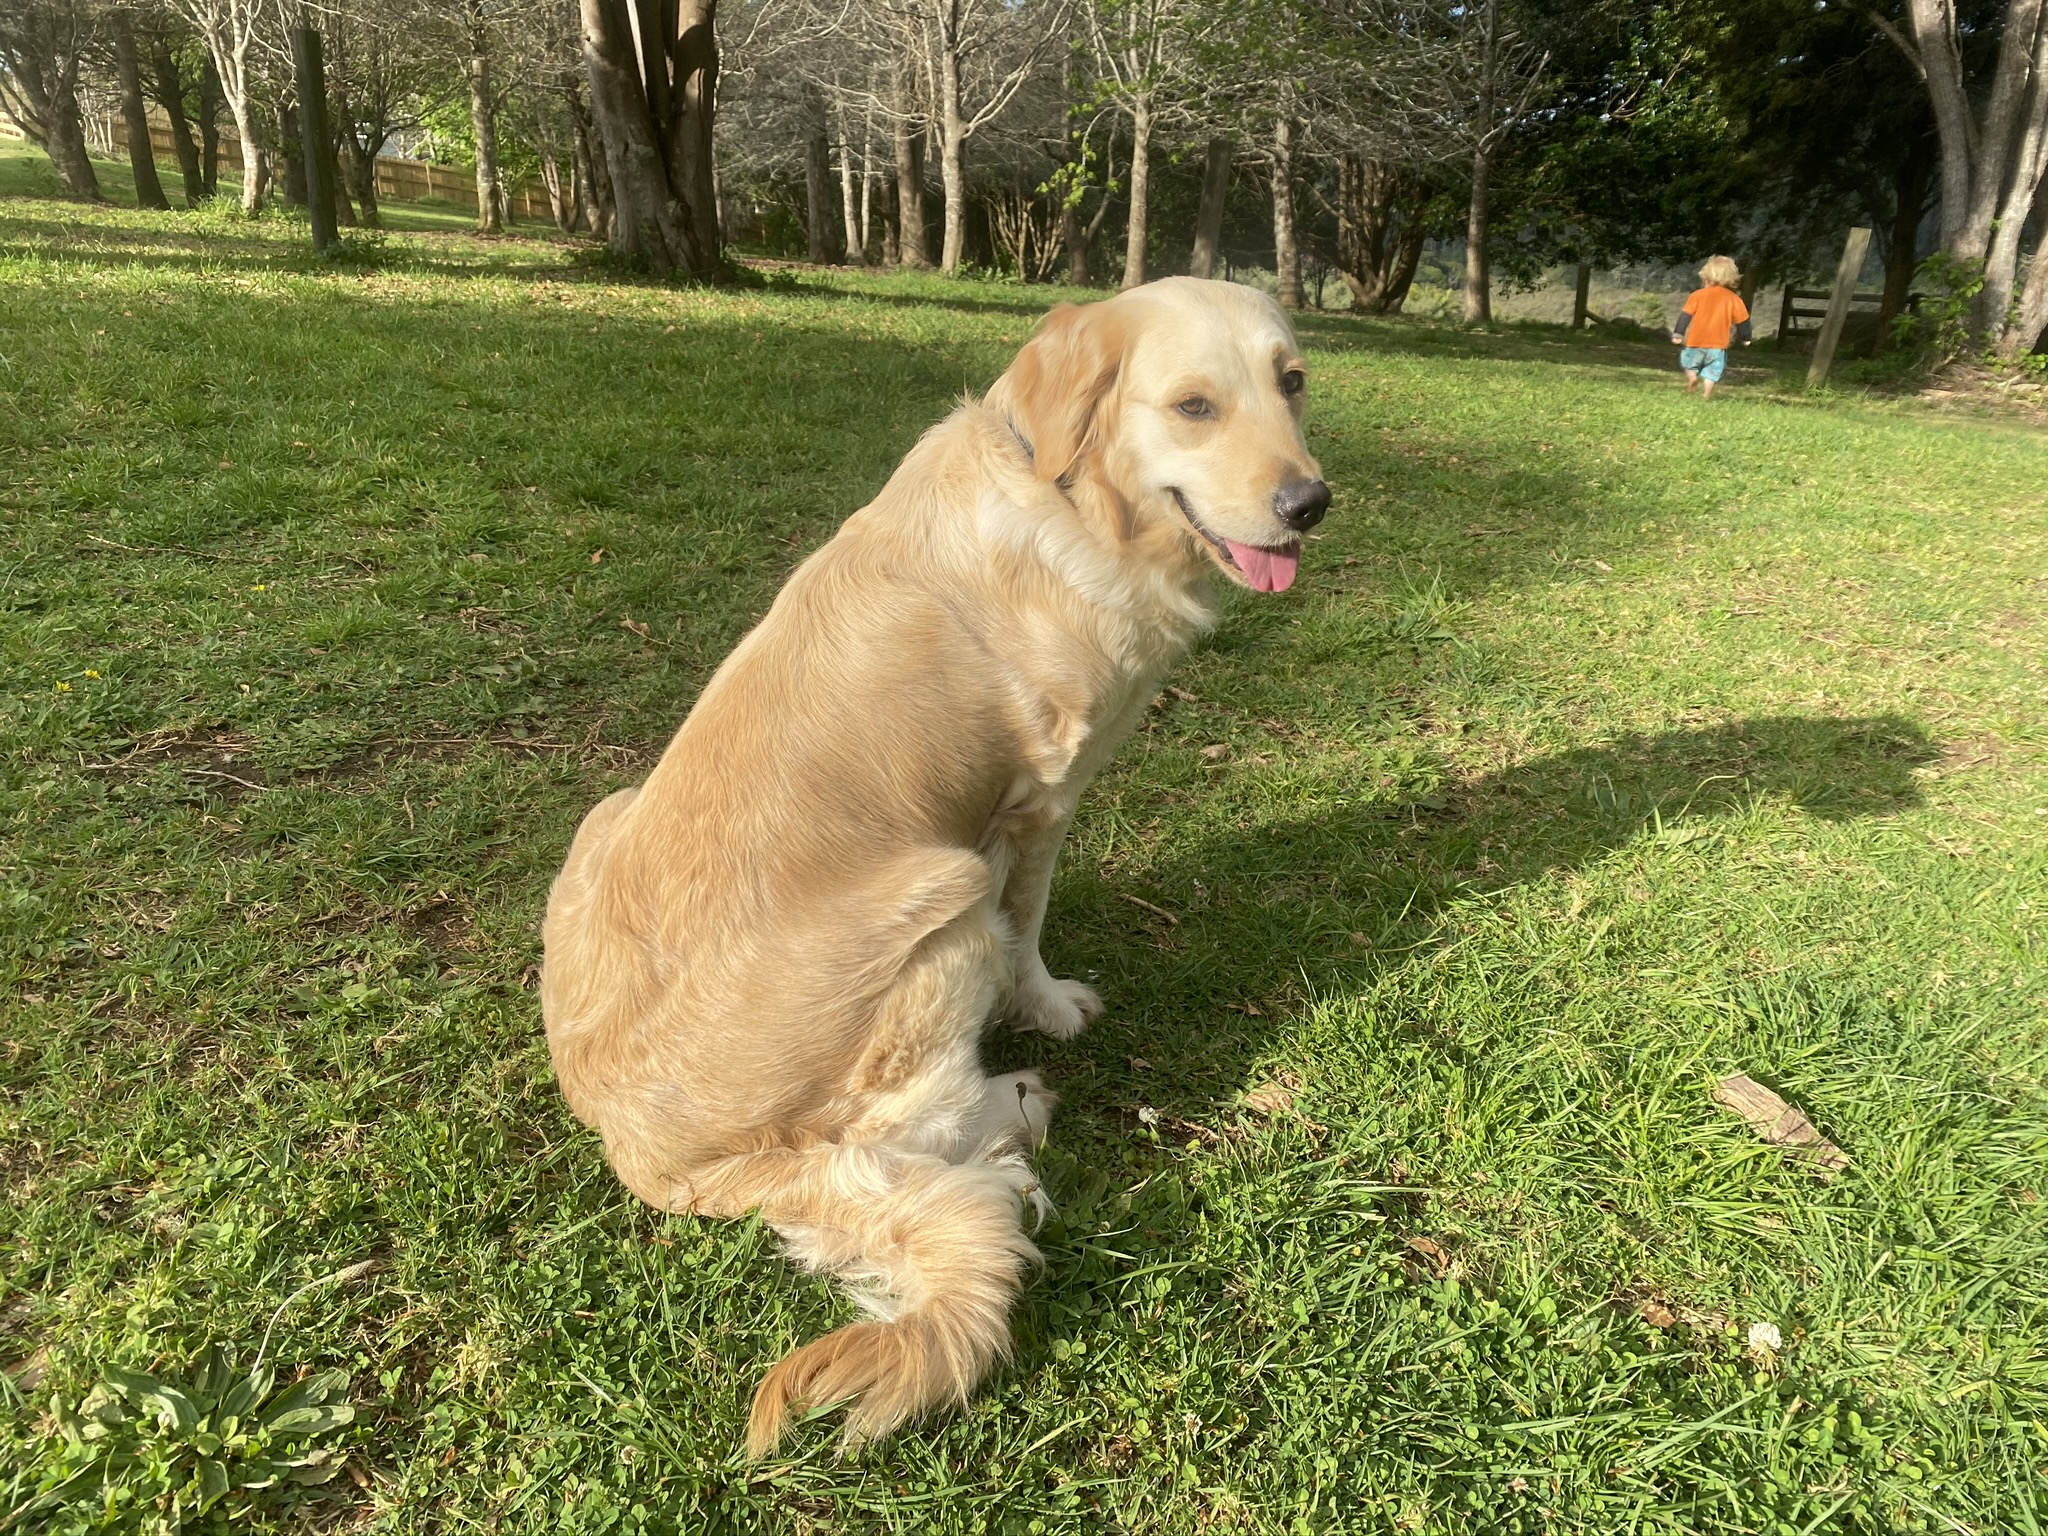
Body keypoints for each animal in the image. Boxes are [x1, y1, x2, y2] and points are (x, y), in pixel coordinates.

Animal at [536, 276, 1327, 1458]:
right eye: (1193, 406)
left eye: (1292, 382)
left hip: (606, 815)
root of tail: (654, 1159)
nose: (1309, 503)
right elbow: (1028, 932)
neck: (1072, 499)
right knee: (915, 1127)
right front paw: (1050, 1009)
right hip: (942, 904)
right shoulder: (1037, 804)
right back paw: (1016, 1096)